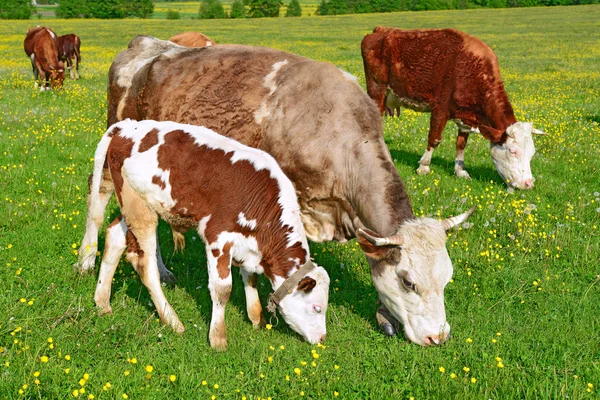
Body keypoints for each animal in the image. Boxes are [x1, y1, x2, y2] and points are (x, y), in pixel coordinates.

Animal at [91, 119, 330, 350]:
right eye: (317, 307)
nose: (322, 339)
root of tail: (126, 126)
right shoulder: (218, 237)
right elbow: (222, 289)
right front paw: (218, 339)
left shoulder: (248, 244)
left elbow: (251, 279)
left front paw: (257, 319)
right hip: (139, 208)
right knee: (145, 265)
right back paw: (172, 321)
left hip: (132, 206)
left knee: (114, 236)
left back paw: (102, 302)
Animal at [358, 27, 548, 190]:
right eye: (513, 151)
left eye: (532, 153)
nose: (529, 183)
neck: (471, 69)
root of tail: (381, 30)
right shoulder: (440, 109)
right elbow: (434, 138)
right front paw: (424, 167)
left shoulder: (467, 116)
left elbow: (461, 143)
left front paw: (460, 170)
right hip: (376, 89)